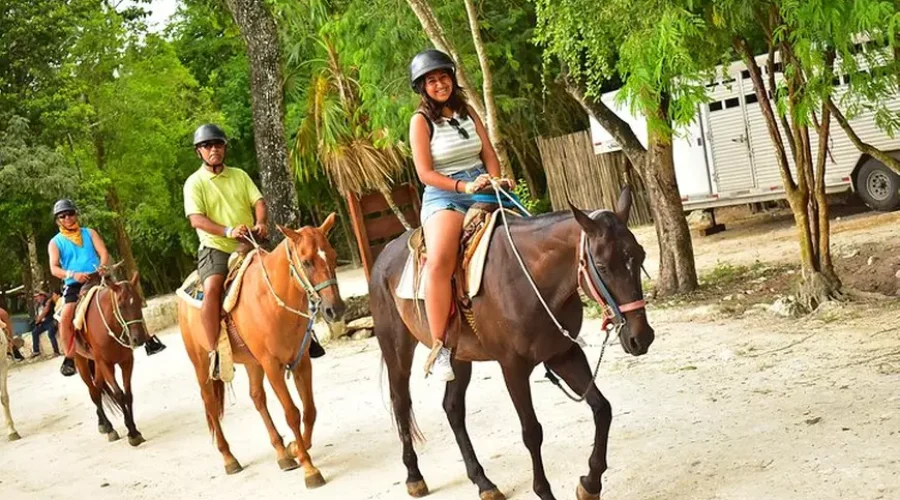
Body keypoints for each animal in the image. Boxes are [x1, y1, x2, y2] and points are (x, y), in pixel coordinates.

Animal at [72, 271, 153, 446]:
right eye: (121, 306)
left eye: (139, 302)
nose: (138, 339)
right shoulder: (105, 364)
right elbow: (118, 394)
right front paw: (132, 432)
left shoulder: (126, 362)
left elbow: (128, 394)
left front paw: (134, 429)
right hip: (82, 363)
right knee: (94, 392)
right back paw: (108, 427)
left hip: (97, 365)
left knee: (97, 386)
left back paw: (103, 423)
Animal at [177, 215, 345, 488]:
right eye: (307, 261)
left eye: (332, 255)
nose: (335, 310)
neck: (272, 299)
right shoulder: (272, 365)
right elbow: (292, 412)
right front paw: (309, 469)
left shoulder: (300, 362)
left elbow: (309, 409)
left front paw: (295, 448)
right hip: (202, 363)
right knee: (210, 403)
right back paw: (229, 458)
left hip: (252, 363)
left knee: (257, 397)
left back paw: (281, 453)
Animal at [370, 187, 655, 500]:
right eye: (602, 266)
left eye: (640, 255)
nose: (641, 337)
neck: (531, 279)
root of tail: (383, 256)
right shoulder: (513, 367)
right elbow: (531, 431)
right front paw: (545, 491)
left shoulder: (563, 354)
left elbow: (602, 409)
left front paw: (589, 484)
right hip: (396, 348)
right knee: (400, 402)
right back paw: (414, 476)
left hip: (460, 356)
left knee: (452, 408)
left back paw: (483, 482)